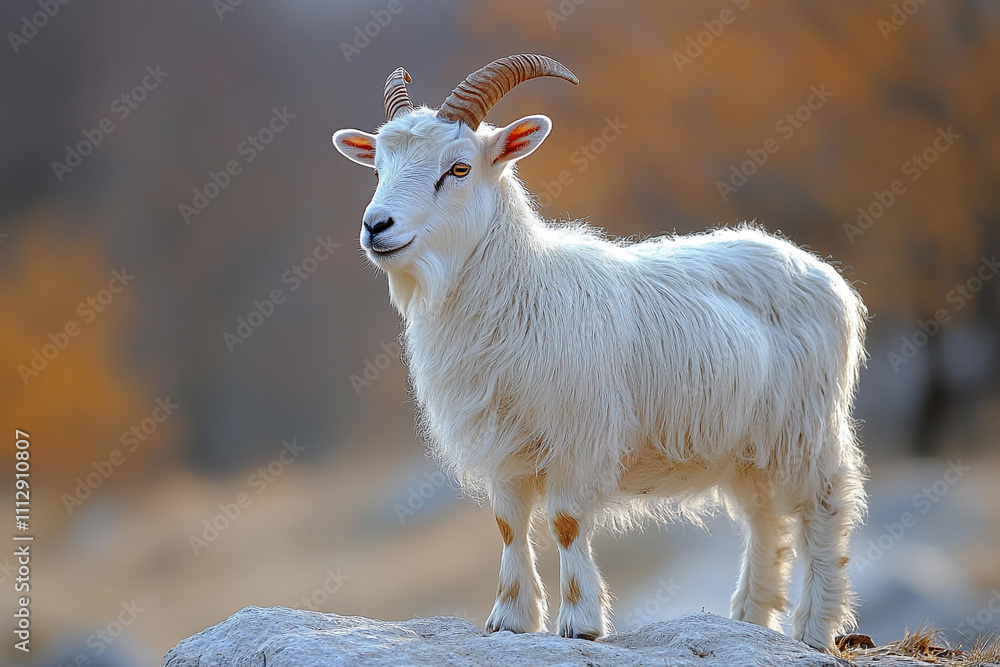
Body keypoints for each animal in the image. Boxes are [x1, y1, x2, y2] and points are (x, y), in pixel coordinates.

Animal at [332, 54, 867, 650]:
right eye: (377, 169)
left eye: (460, 169)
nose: (376, 226)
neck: (522, 290)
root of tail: (820, 271)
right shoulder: (500, 442)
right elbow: (507, 524)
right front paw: (510, 619)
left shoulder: (577, 434)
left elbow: (566, 522)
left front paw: (581, 623)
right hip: (747, 443)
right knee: (765, 521)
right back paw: (750, 620)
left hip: (805, 426)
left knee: (824, 508)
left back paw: (814, 629)